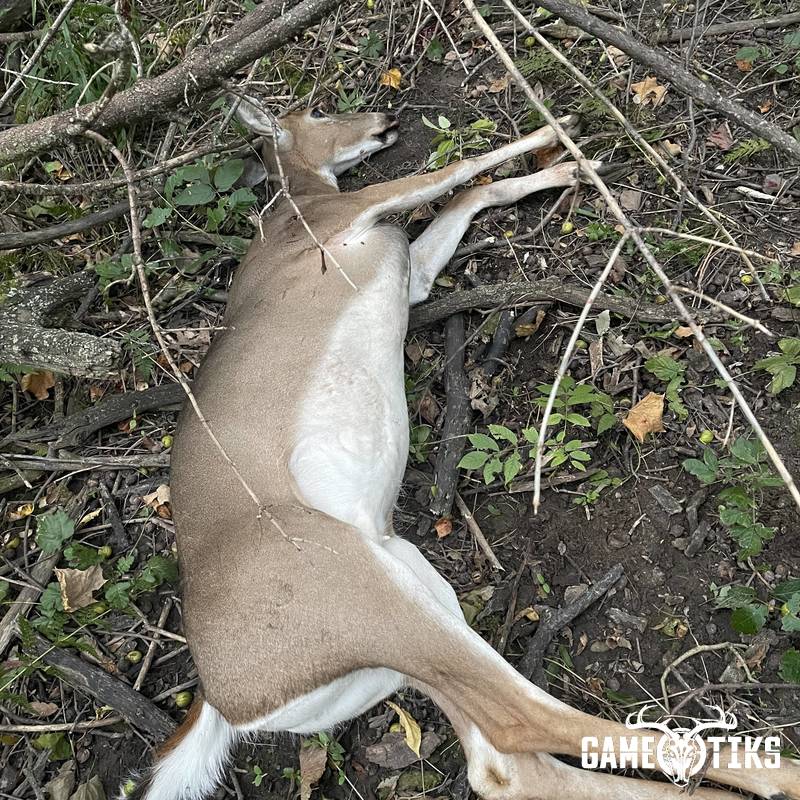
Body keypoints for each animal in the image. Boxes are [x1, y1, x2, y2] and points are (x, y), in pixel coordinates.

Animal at [127, 95, 800, 800]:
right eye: (317, 113)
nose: (384, 120)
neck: (296, 207)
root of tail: (224, 701)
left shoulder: (410, 274)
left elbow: (466, 196)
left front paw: (560, 169)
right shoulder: (351, 216)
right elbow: (453, 170)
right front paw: (557, 135)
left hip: (409, 603)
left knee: (502, 763)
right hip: (362, 594)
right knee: (520, 719)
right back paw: (782, 772)